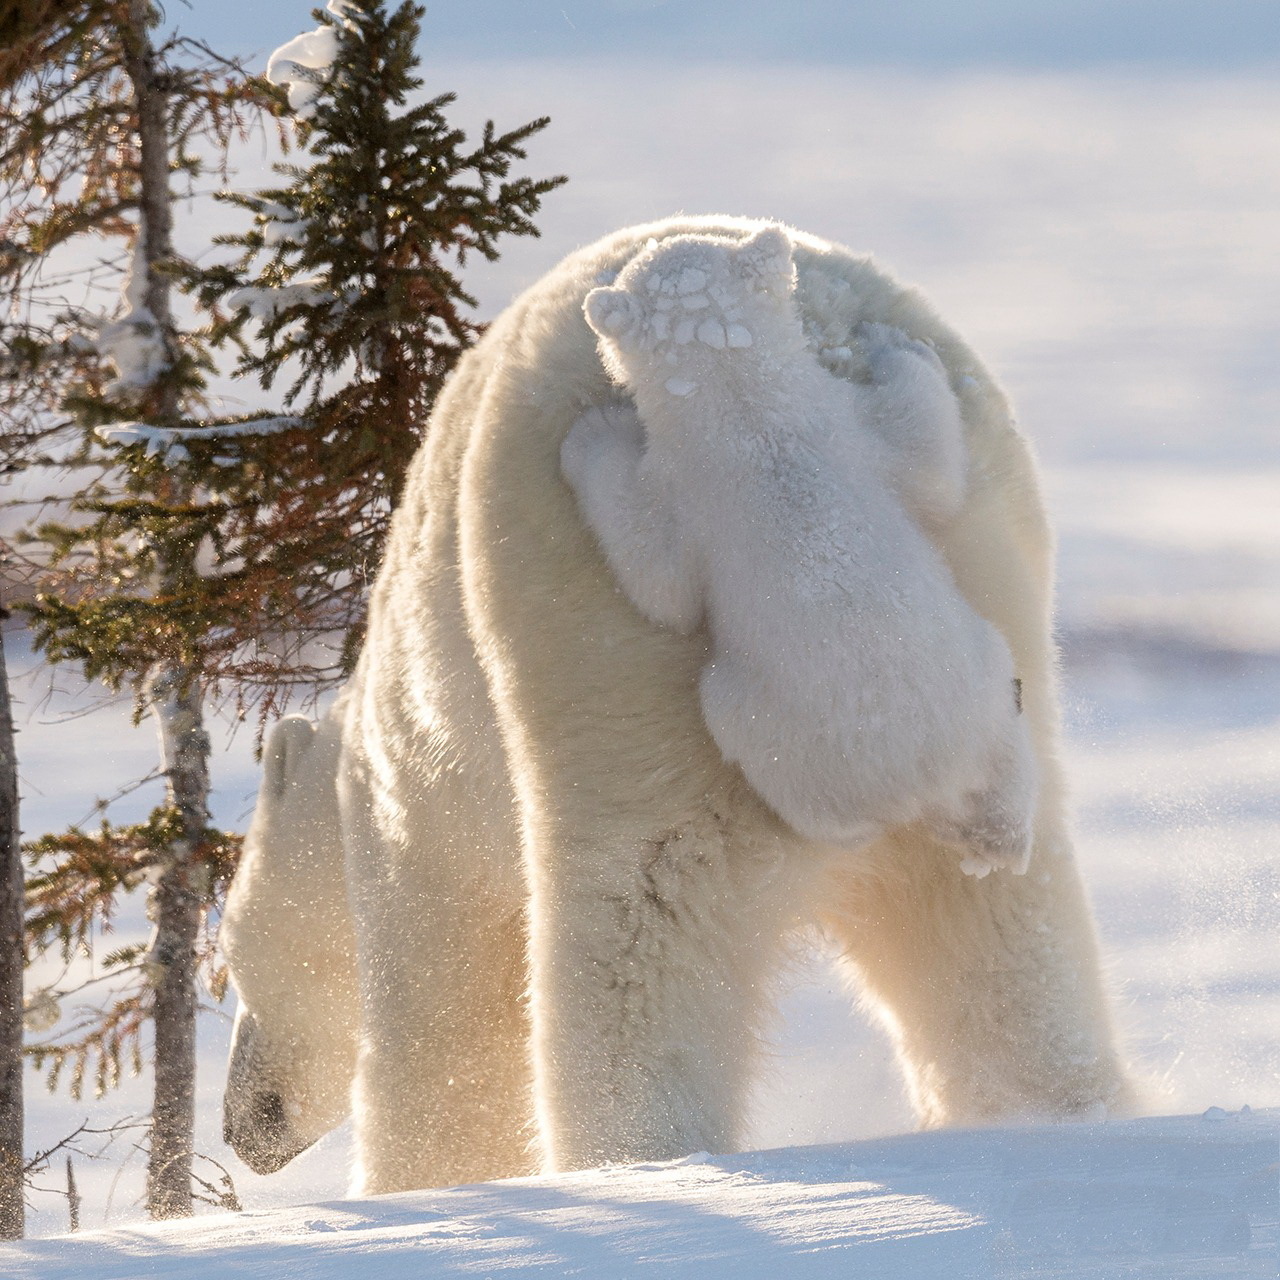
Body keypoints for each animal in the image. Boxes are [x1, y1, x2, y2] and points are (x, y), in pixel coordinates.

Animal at [565, 227, 1034, 870]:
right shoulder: (847, 427)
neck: (748, 408)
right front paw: (900, 346)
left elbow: (663, 587)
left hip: (776, 729)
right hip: (981, 687)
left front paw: (591, 432)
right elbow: (929, 465)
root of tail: (926, 779)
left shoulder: (690, 486)